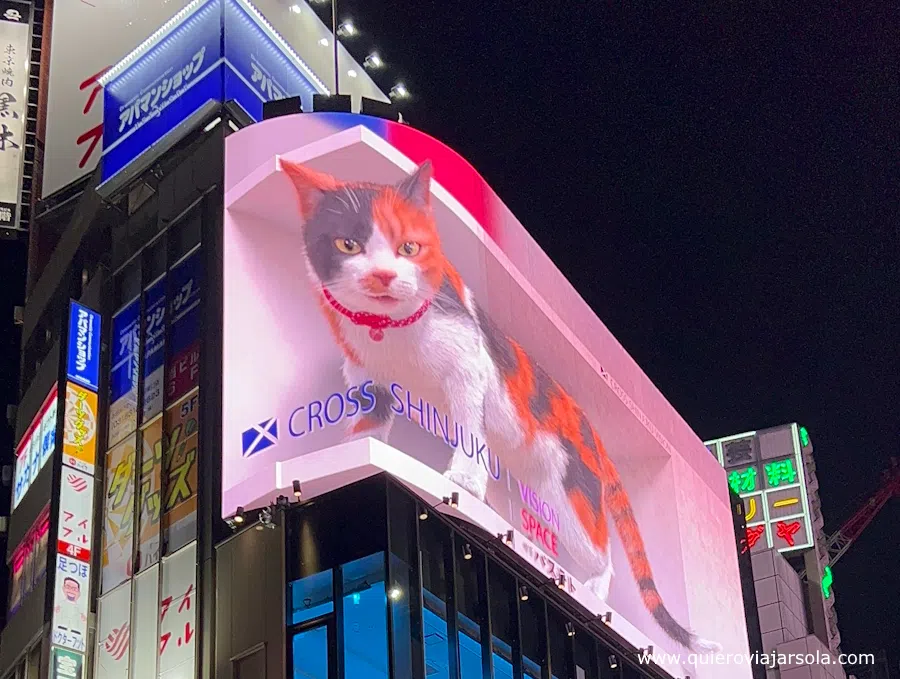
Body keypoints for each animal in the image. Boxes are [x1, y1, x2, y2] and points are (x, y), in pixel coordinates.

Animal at [280, 157, 716, 652]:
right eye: (347, 244)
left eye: (409, 247)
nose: (383, 277)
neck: (391, 332)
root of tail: (593, 432)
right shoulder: (366, 381)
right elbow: (365, 426)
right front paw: (352, 451)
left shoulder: (469, 363)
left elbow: (469, 426)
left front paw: (466, 482)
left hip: (569, 494)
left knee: (601, 551)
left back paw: (593, 593)